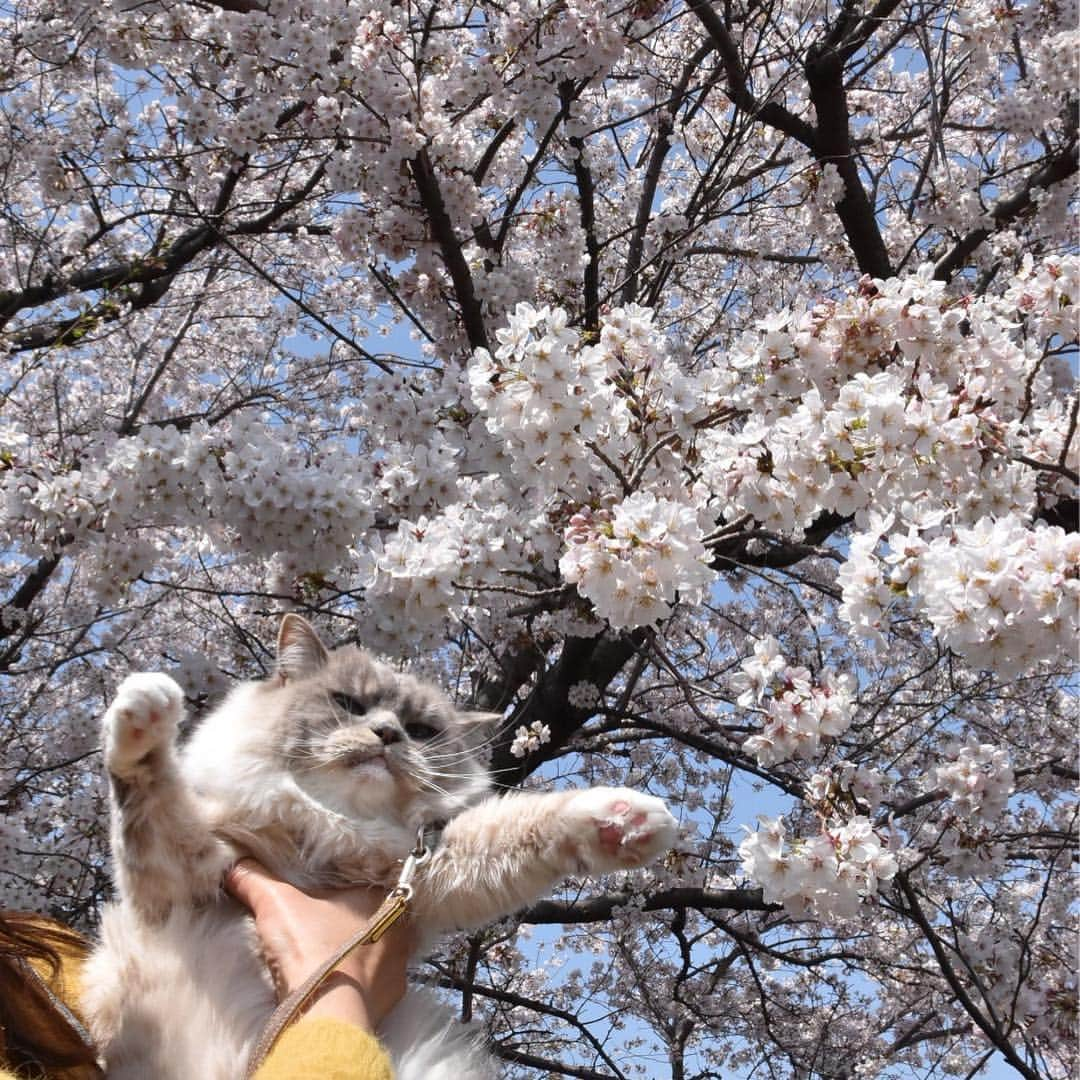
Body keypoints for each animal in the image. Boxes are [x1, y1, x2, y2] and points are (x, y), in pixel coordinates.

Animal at [82, 617, 673, 1080]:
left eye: (420, 730)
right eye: (349, 704)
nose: (387, 734)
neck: (333, 829)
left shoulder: (424, 875)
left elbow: (522, 824)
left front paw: (629, 822)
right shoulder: (187, 871)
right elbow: (148, 787)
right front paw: (147, 710)